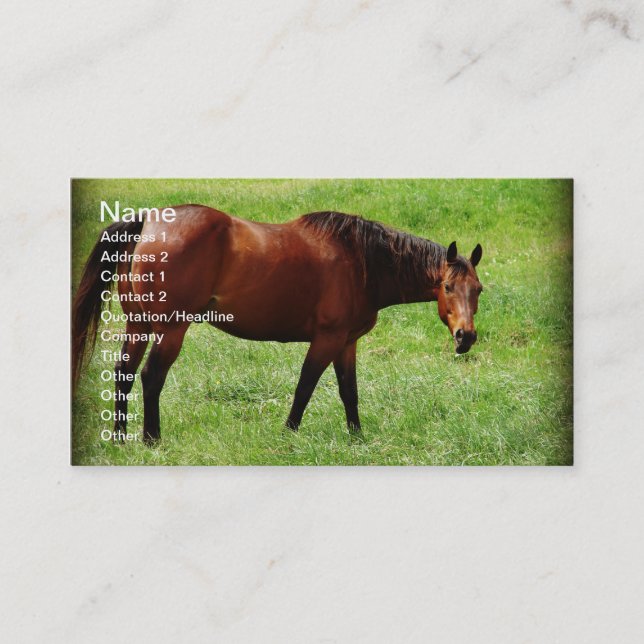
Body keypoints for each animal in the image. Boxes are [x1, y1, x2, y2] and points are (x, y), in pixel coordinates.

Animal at [72, 206, 483, 442]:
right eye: (448, 287)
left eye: (478, 289)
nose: (466, 337)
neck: (360, 261)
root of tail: (150, 221)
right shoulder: (327, 339)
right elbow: (305, 386)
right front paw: (289, 433)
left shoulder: (347, 342)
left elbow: (348, 391)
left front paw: (357, 437)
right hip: (171, 329)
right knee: (151, 376)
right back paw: (151, 438)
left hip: (139, 324)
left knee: (124, 373)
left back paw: (120, 437)